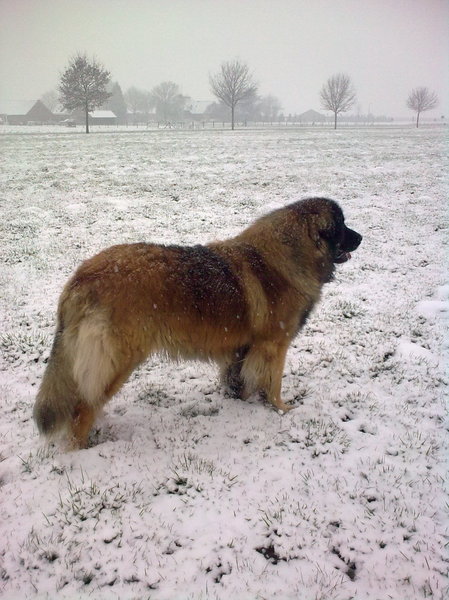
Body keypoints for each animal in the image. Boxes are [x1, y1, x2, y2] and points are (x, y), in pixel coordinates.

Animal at [35, 199, 362, 448]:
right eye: (341, 226)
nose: (361, 237)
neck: (291, 255)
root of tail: (81, 277)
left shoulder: (244, 348)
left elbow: (240, 379)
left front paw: (241, 400)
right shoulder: (274, 345)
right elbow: (273, 383)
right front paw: (282, 409)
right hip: (117, 360)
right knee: (82, 406)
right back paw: (80, 448)